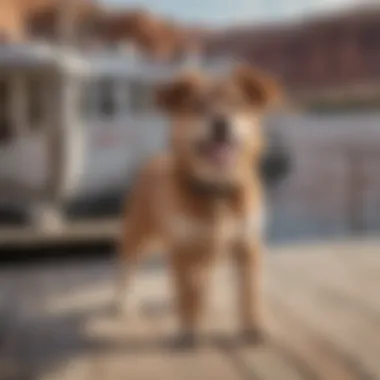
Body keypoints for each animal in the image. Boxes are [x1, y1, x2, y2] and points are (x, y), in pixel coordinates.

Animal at [117, 63, 280, 346]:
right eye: (198, 106)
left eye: (237, 104)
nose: (220, 122)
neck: (217, 190)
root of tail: (154, 160)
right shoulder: (183, 247)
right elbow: (186, 293)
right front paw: (188, 330)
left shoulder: (246, 245)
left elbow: (248, 293)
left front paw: (252, 327)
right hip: (139, 236)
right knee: (128, 268)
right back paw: (124, 302)